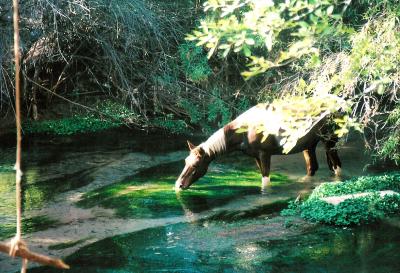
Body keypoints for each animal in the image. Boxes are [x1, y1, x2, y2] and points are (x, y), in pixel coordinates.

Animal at [175, 103, 340, 190]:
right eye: (185, 161)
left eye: (196, 164)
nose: (178, 185)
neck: (243, 133)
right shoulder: (256, 156)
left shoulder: (265, 154)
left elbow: (265, 182)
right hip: (308, 145)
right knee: (312, 168)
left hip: (330, 141)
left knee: (337, 167)